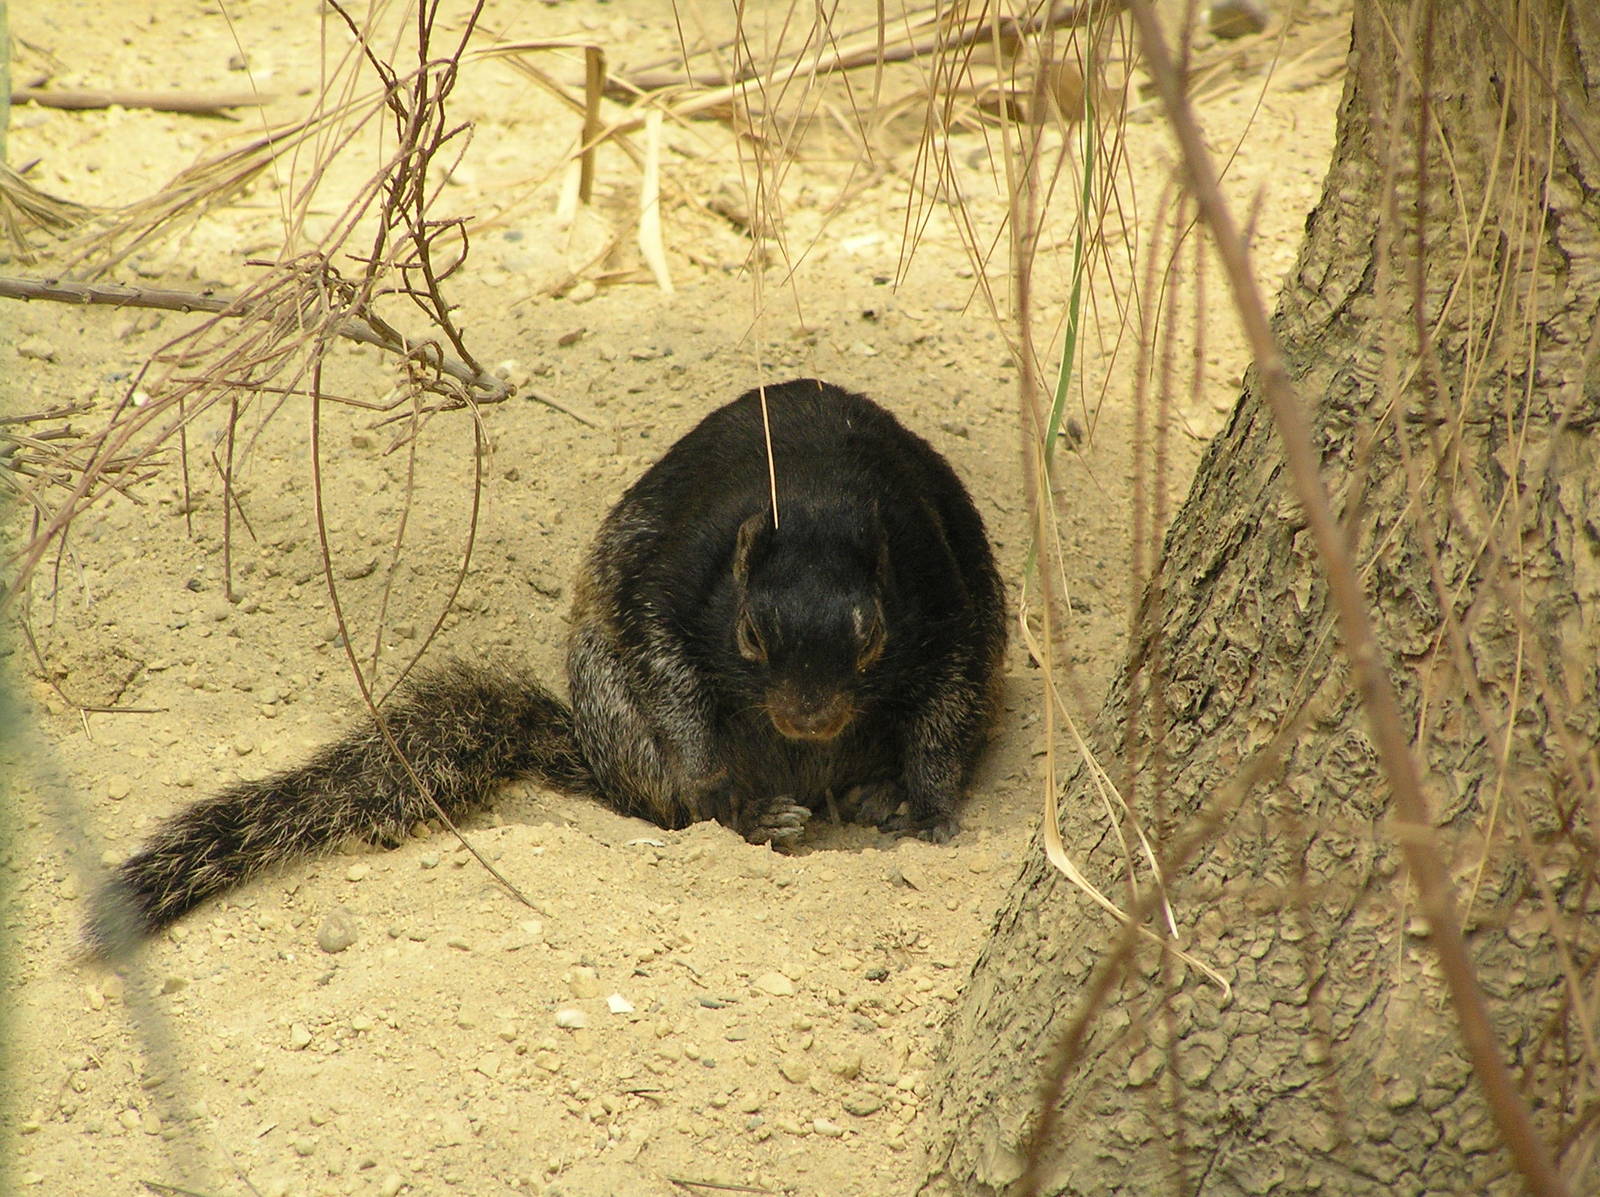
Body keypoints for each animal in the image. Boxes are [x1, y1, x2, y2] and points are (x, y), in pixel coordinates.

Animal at [86, 379, 1007, 955]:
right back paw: (757, 815)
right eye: (749, 635)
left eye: (871, 640)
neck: (814, 498)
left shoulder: (946, 603)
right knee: (668, 798)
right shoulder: (664, 588)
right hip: (612, 707)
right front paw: (724, 789)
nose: (806, 717)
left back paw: (868, 792)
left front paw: (925, 809)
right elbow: (674, 689)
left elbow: (948, 712)